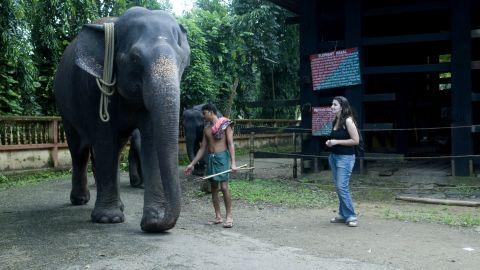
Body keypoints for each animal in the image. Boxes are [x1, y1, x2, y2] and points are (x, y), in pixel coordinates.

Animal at [55, 7, 190, 233]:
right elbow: (104, 140)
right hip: (65, 107)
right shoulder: (94, 89)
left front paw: (152, 219)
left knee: (114, 151)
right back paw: (81, 200)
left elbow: (150, 142)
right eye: (135, 58)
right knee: (79, 150)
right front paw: (109, 219)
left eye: (182, 60)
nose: (151, 225)